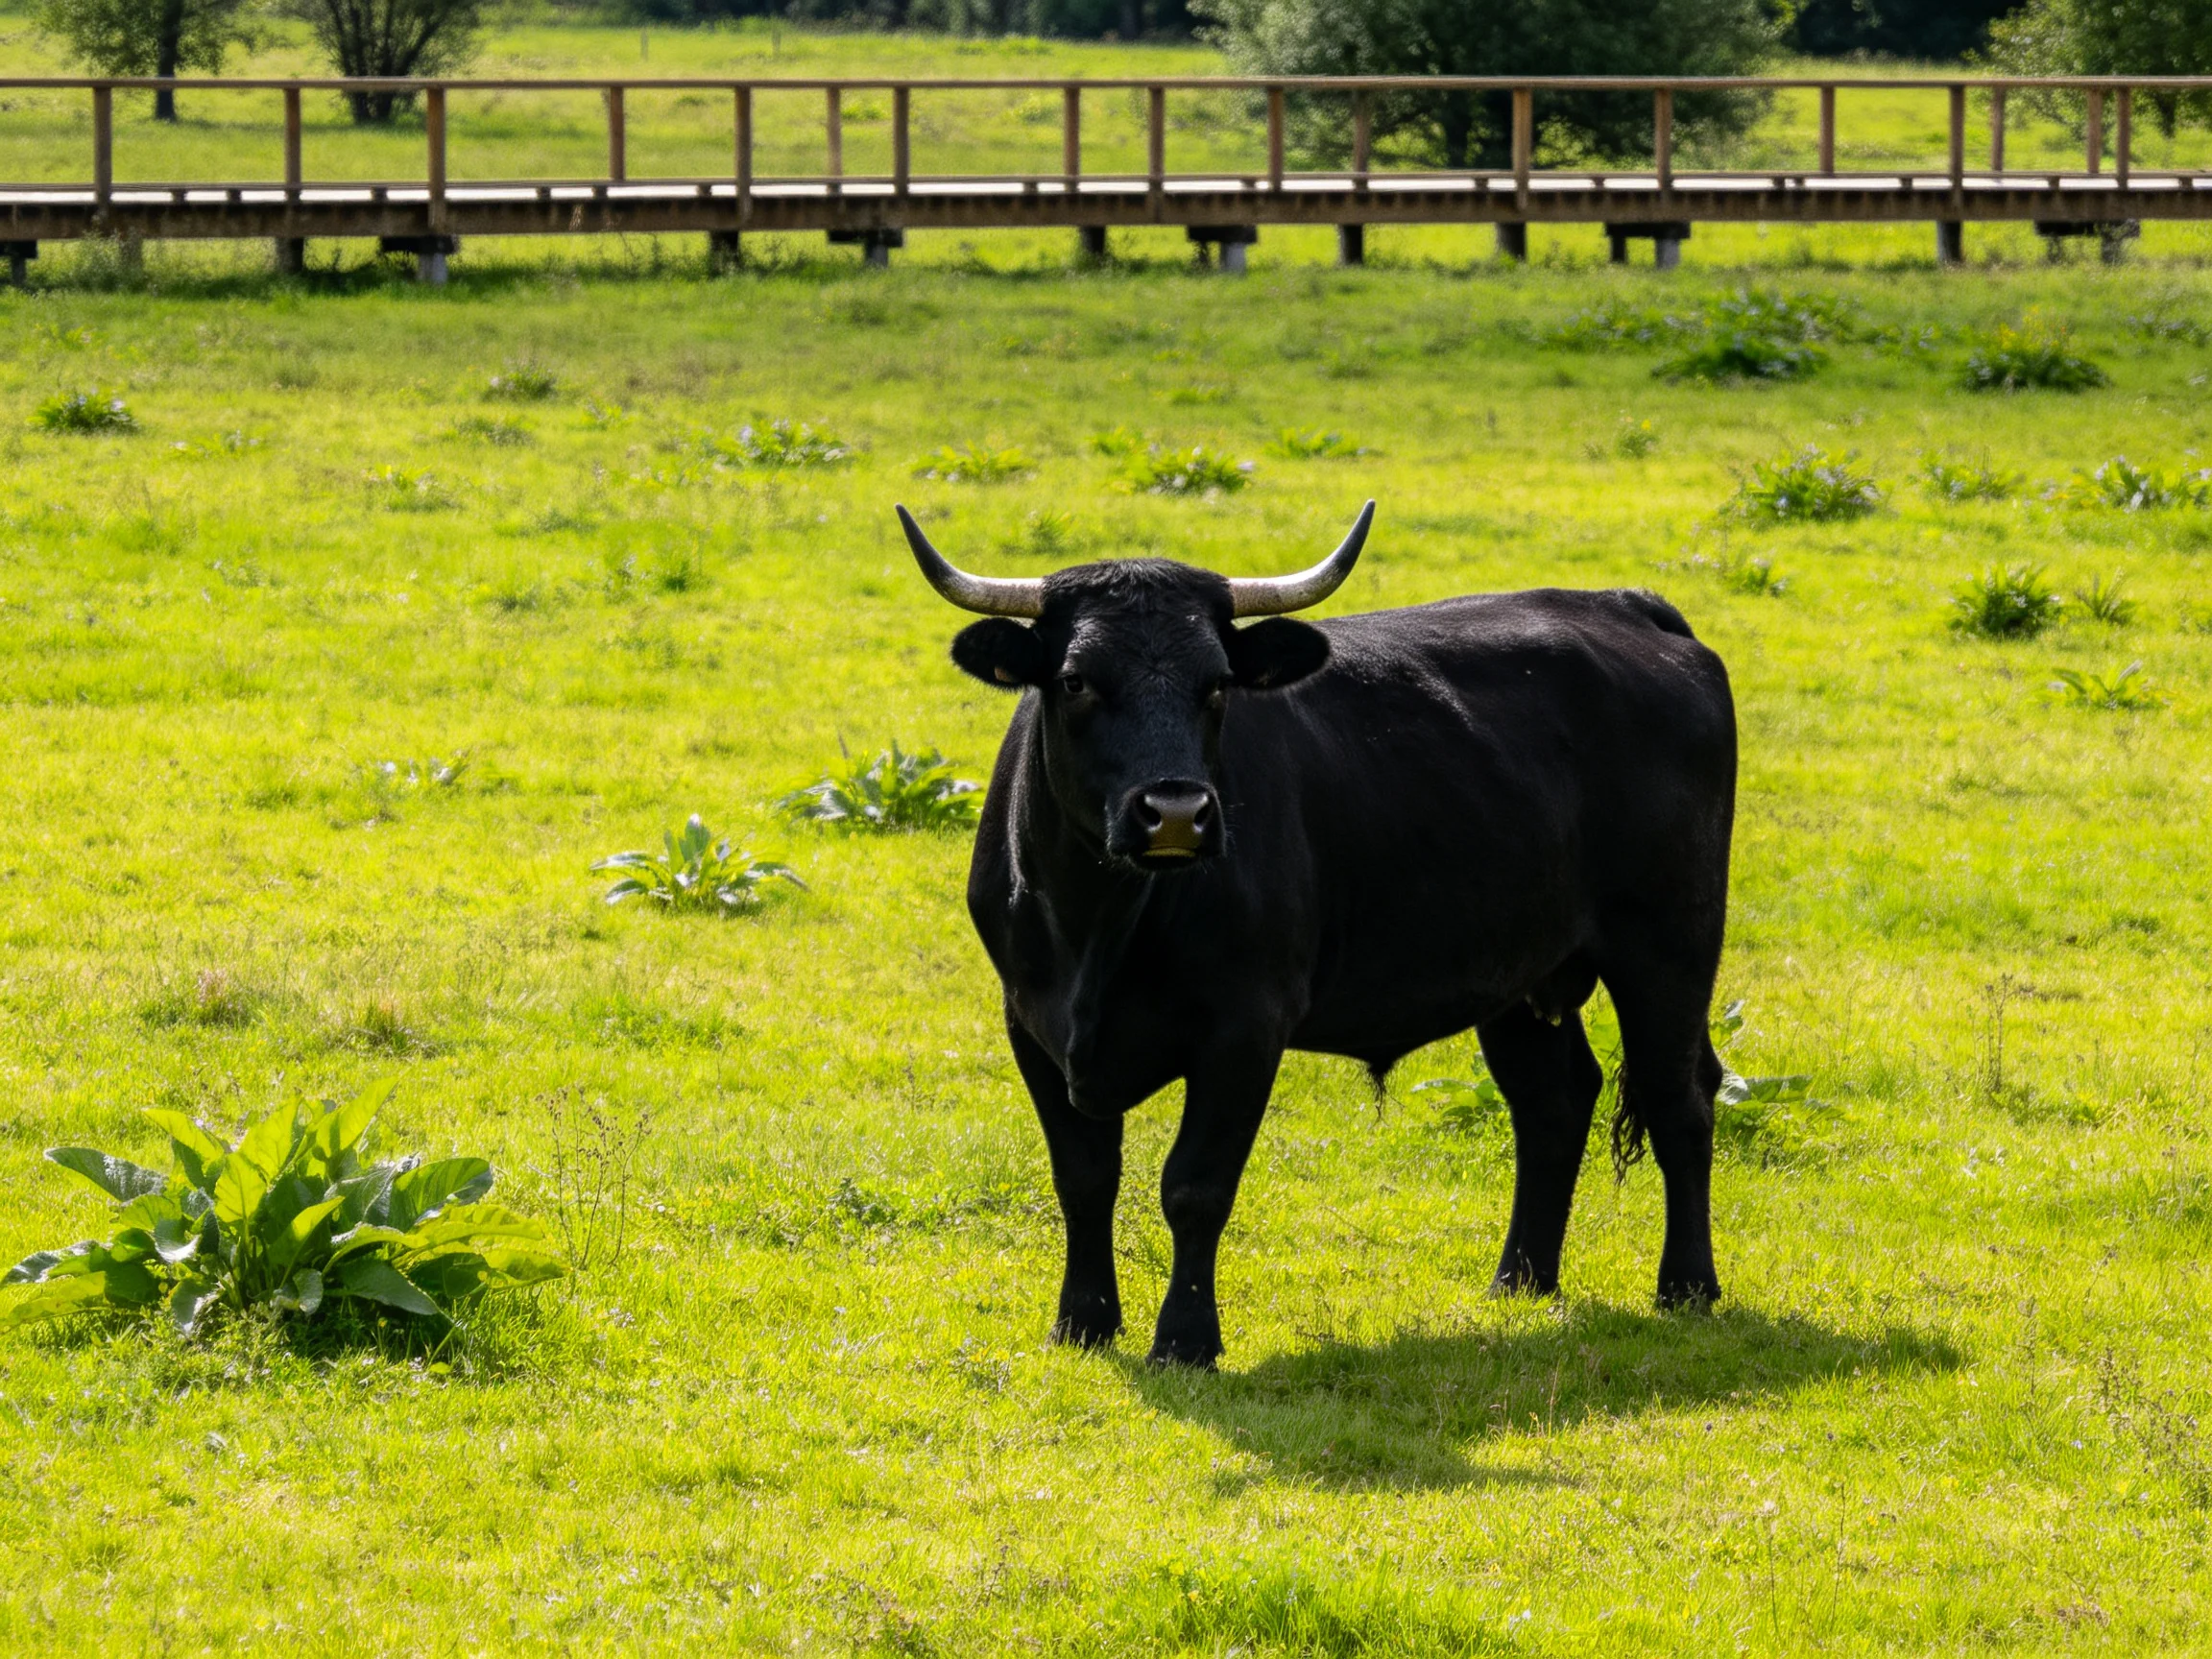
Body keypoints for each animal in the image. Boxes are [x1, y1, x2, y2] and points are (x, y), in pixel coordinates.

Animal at [899, 500, 1736, 1367]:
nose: (1175, 812)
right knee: (1553, 1100)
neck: (1097, 927)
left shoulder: (1244, 1026)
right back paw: (1521, 1282)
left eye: (1217, 685)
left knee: (1680, 1095)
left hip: (1669, 942)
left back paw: (1687, 1286)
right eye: (1074, 681)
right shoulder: (1031, 1022)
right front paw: (1083, 1322)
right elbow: (1084, 1176)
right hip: (1520, 971)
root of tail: (1624, 604)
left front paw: (1185, 1340)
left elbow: (1194, 1186)